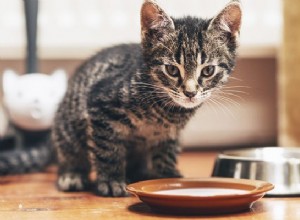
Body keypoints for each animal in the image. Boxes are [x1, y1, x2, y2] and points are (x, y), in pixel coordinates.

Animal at [51, 0, 243, 196]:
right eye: (172, 70)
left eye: (208, 70)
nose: (190, 93)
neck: (167, 110)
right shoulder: (100, 105)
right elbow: (108, 148)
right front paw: (112, 180)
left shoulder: (170, 134)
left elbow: (166, 154)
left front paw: (168, 177)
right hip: (68, 127)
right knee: (70, 153)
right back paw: (72, 174)